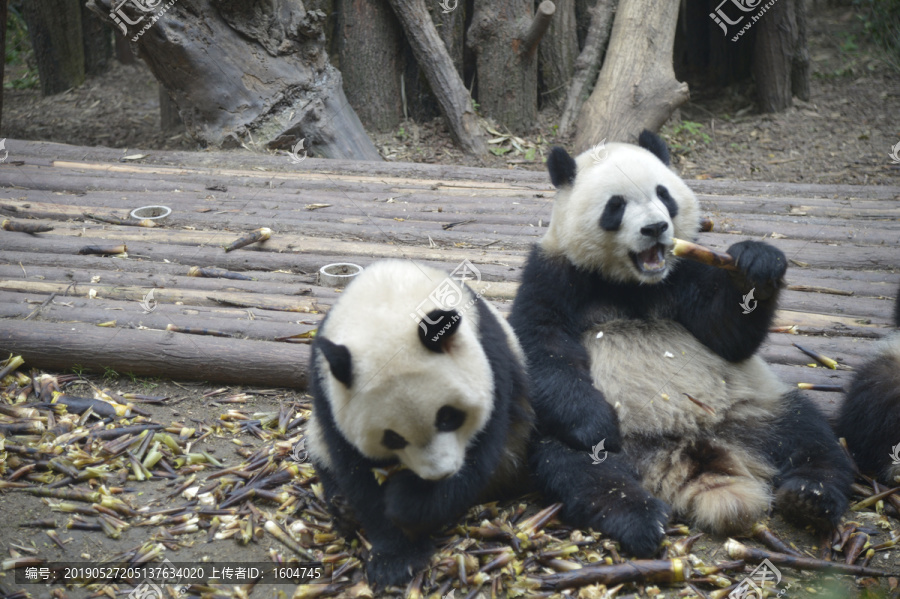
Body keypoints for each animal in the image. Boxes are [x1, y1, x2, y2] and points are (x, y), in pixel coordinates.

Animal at [310, 260, 536, 588]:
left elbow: (481, 455)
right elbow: (356, 471)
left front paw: (409, 503)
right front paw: (395, 558)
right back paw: (344, 510)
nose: (439, 474)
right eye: (392, 438)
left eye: (448, 417)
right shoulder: (328, 392)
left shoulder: (493, 358)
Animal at [510, 131, 856, 556]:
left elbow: (726, 335)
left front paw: (756, 265)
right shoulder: (553, 273)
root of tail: (690, 444)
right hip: (583, 437)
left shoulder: (686, 271)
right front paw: (595, 424)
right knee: (579, 469)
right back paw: (639, 517)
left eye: (664, 194)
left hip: (754, 406)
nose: (656, 227)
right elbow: (543, 345)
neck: (632, 282)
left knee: (810, 435)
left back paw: (810, 496)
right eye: (616, 205)